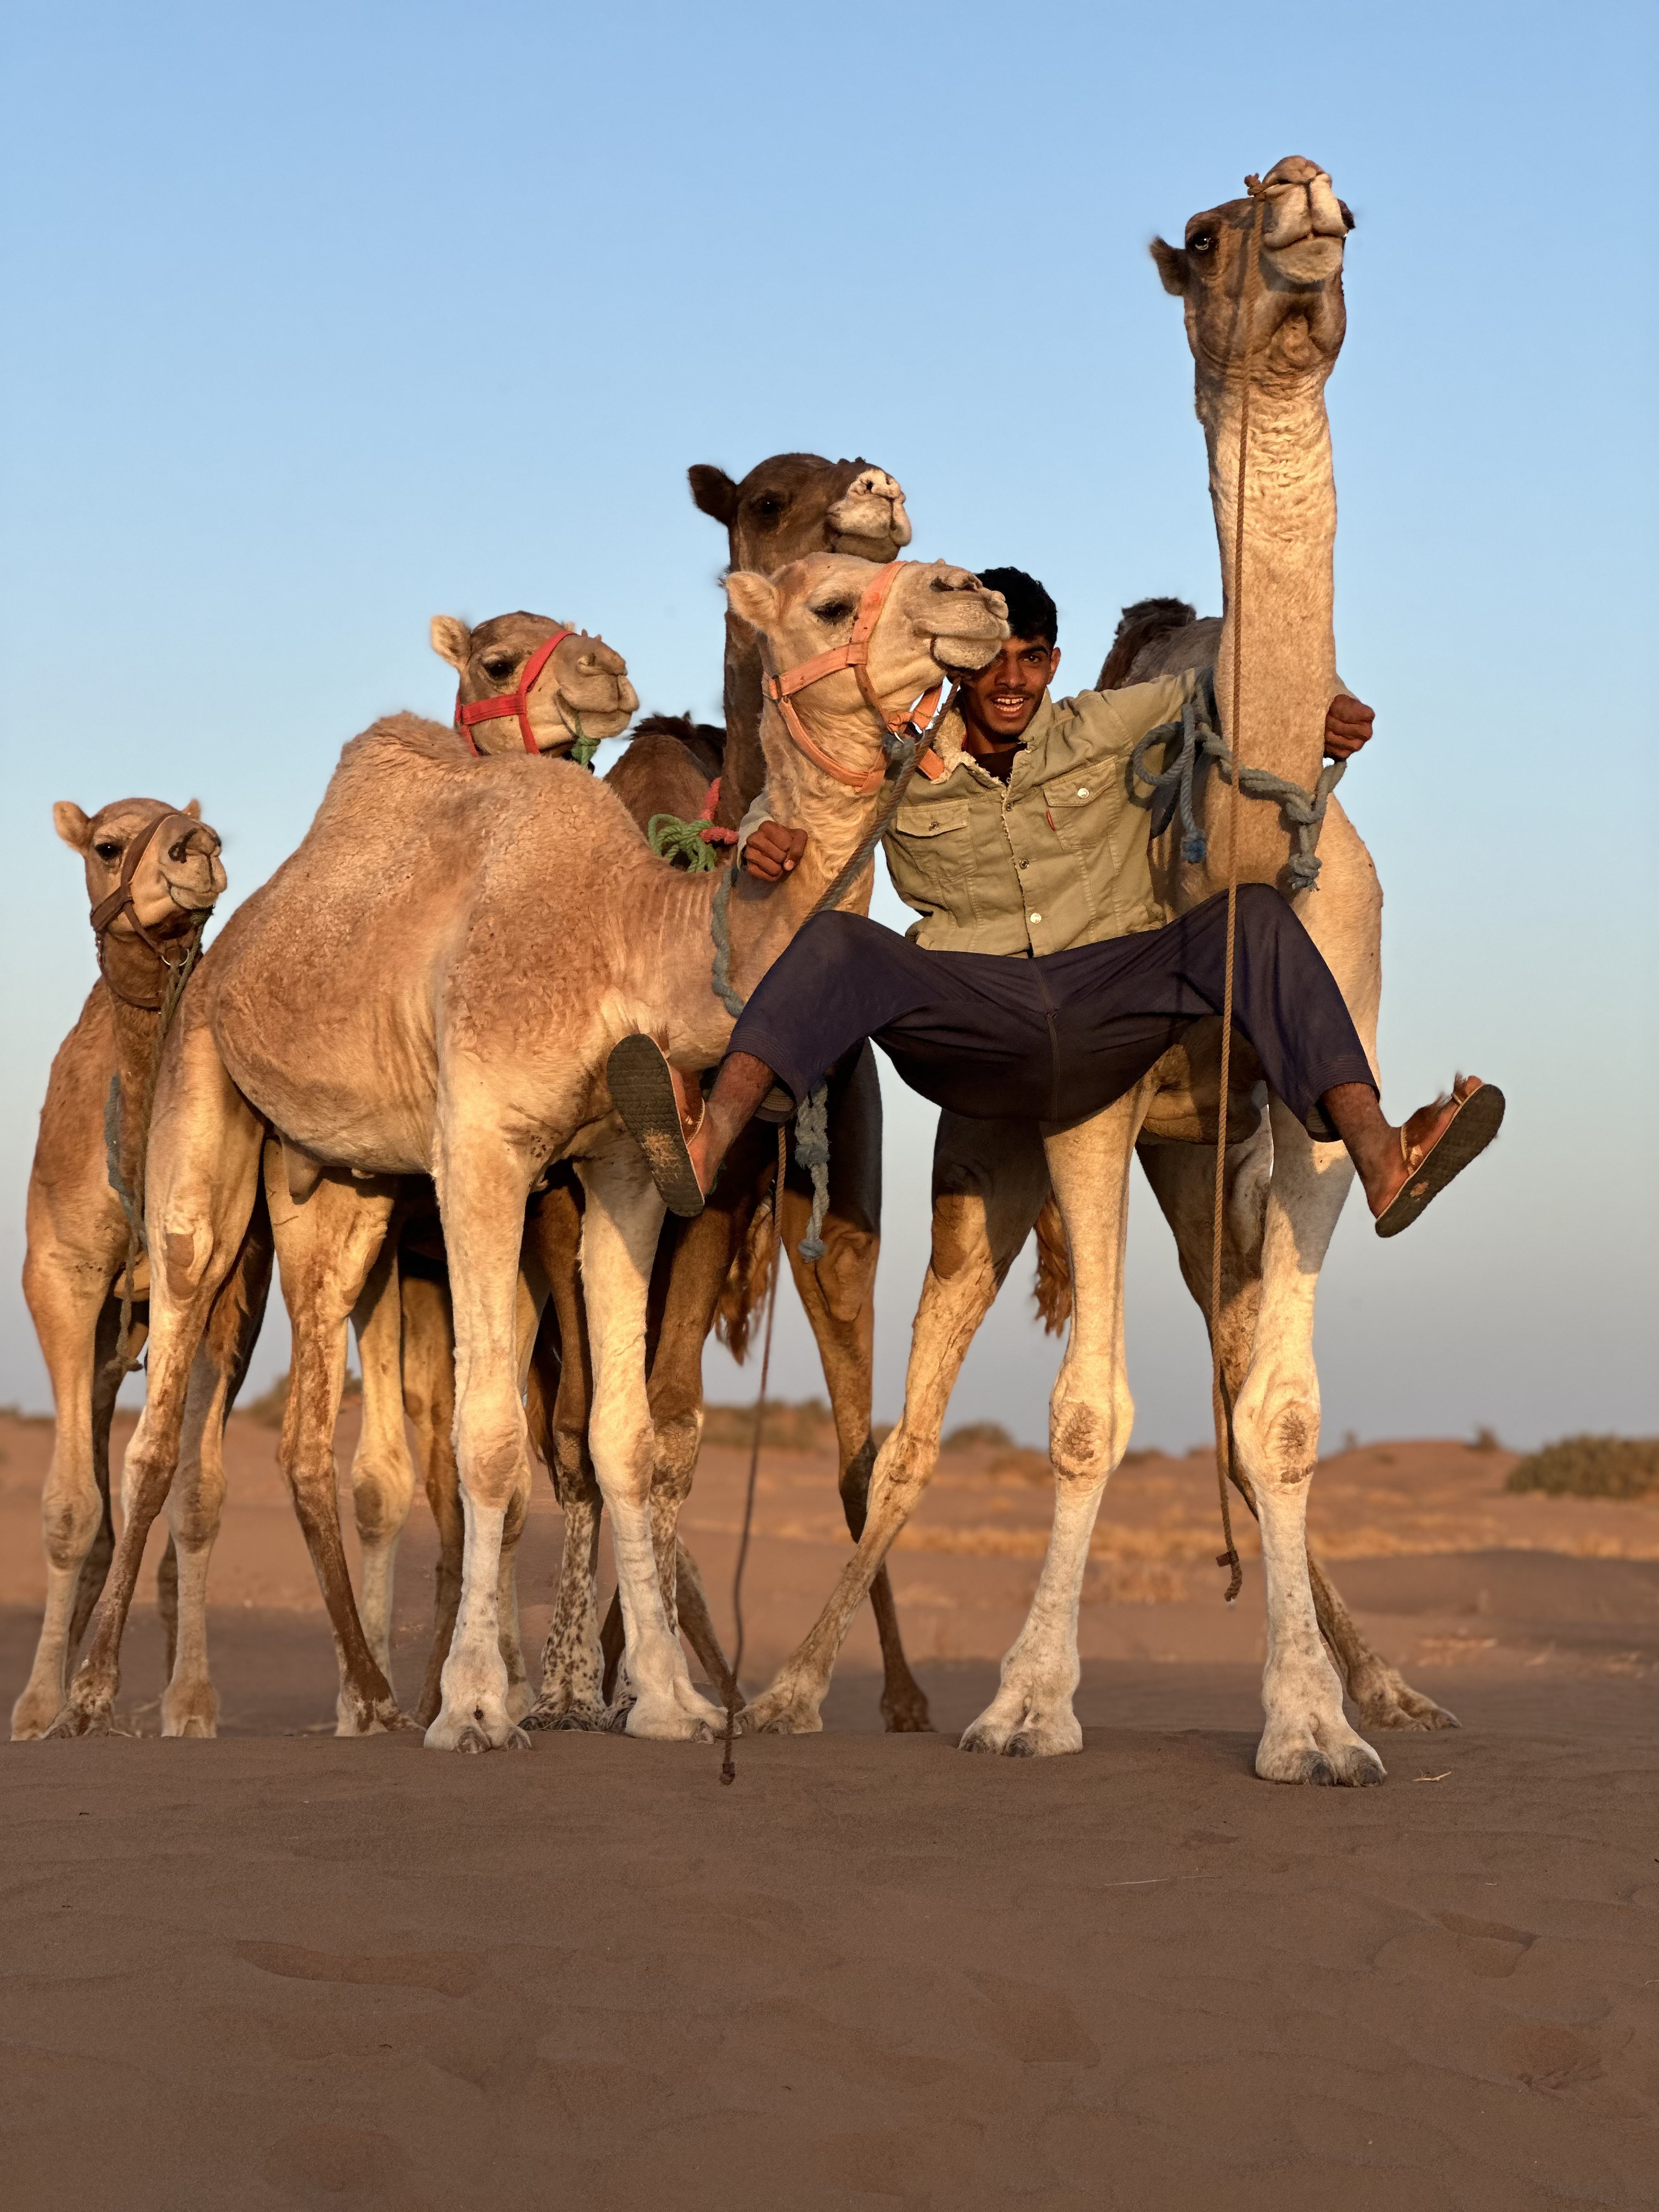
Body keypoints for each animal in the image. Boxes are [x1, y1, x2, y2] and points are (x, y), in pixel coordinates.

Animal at [50, 554, 1006, 1750]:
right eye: (833, 599)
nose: (978, 597)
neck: (629, 939)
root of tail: (227, 951)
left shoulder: (625, 1174)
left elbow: (623, 1436)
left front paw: (667, 1701)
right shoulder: (482, 1150)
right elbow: (491, 1433)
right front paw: (473, 1704)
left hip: (339, 1190)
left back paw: (360, 1695)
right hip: (201, 1112)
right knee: (163, 1401)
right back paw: (100, 1696)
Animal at [742, 156, 1436, 1782]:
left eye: (1346, 210)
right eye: (1211, 234)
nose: (1304, 191)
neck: (1238, 855)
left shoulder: (1304, 1118)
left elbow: (1281, 1412)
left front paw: (1319, 1722)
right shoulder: (1087, 1108)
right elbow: (1081, 1415)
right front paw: (1026, 1702)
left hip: (1202, 1168)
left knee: (1235, 1369)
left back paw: (1384, 1680)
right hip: (985, 1157)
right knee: (912, 1426)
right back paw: (796, 1688)